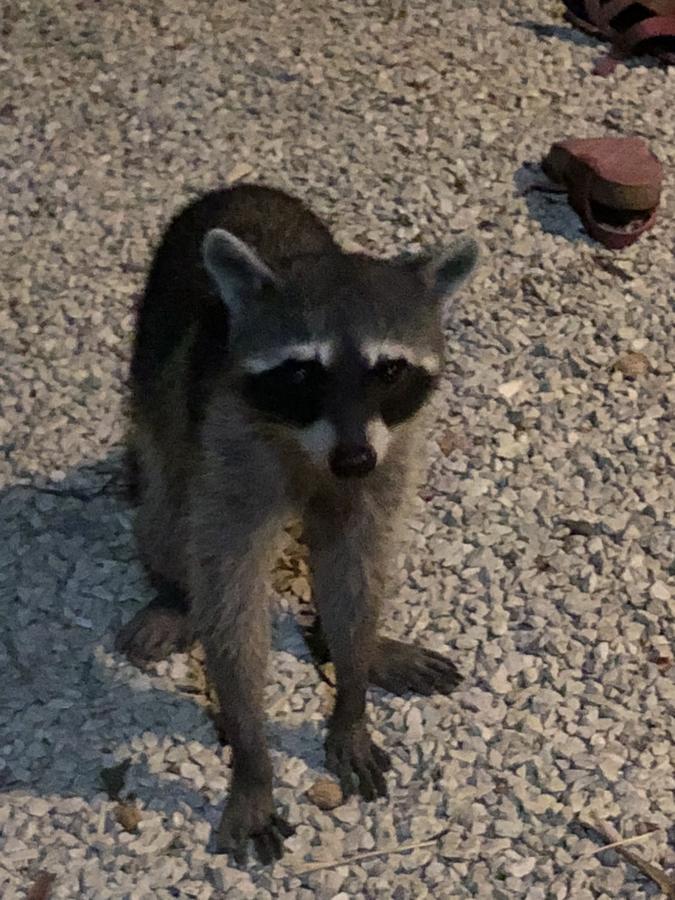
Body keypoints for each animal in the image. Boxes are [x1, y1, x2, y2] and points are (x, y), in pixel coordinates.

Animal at [119, 181, 480, 856]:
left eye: (389, 370)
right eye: (304, 372)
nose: (353, 458)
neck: (315, 450)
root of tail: (240, 186)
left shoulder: (390, 453)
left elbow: (355, 566)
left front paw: (353, 690)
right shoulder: (231, 448)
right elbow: (232, 601)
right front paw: (253, 759)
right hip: (163, 414)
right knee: (166, 514)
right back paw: (173, 593)